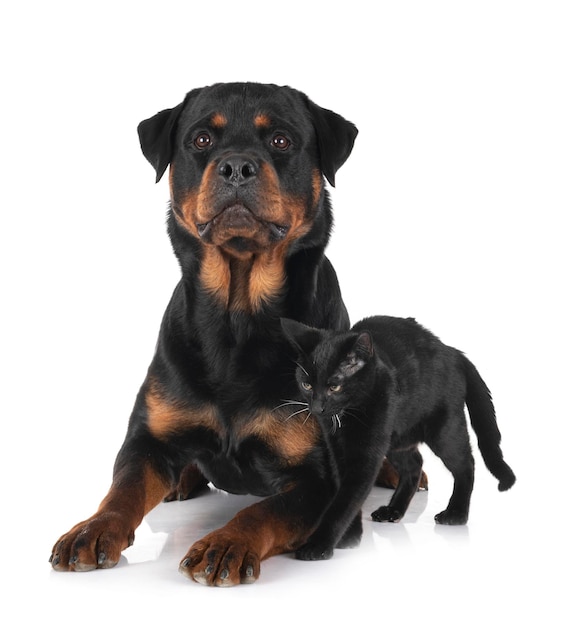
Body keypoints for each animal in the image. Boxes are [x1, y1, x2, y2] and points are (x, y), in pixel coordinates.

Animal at [51, 80, 366, 584]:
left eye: (281, 140)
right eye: (201, 139)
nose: (236, 166)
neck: (236, 317)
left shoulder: (318, 480)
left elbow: (263, 511)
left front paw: (226, 543)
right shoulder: (146, 440)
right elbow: (123, 489)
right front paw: (93, 529)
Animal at [282, 314, 516, 560]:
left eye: (334, 387)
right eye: (307, 385)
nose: (317, 408)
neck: (349, 415)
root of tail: (453, 352)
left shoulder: (366, 456)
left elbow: (345, 500)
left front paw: (319, 545)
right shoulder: (338, 450)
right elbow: (343, 492)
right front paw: (350, 538)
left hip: (443, 431)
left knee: (465, 464)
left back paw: (456, 513)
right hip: (398, 438)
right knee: (414, 464)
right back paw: (393, 511)